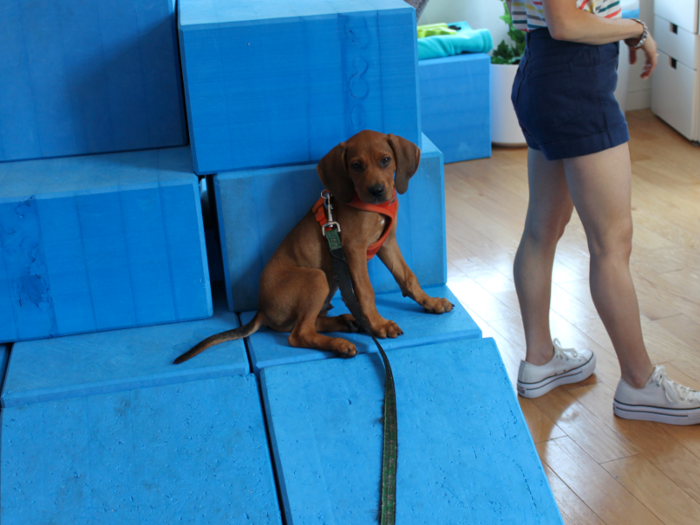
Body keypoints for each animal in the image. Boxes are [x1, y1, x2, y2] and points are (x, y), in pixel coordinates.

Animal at [175, 129, 454, 362]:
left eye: (385, 160)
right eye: (356, 166)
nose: (376, 191)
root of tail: (262, 309)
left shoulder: (387, 244)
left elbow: (408, 276)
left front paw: (430, 302)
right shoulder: (354, 249)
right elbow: (366, 291)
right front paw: (378, 324)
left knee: (306, 324)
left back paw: (347, 322)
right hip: (316, 277)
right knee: (298, 334)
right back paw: (340, 342)